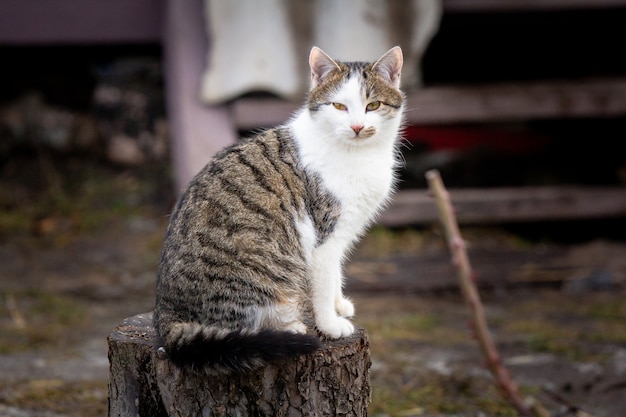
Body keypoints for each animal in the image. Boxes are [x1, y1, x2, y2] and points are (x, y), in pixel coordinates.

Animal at [155, 46, 404, 370]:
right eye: (339, 106)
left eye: (372, 105)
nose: (357, 126)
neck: (357, 154)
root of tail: (165, 314)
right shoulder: (324, 235)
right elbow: (324, 282)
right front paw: (329, 323)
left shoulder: (341, 231)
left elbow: (335, 272)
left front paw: (339, 305)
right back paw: (290, 327)